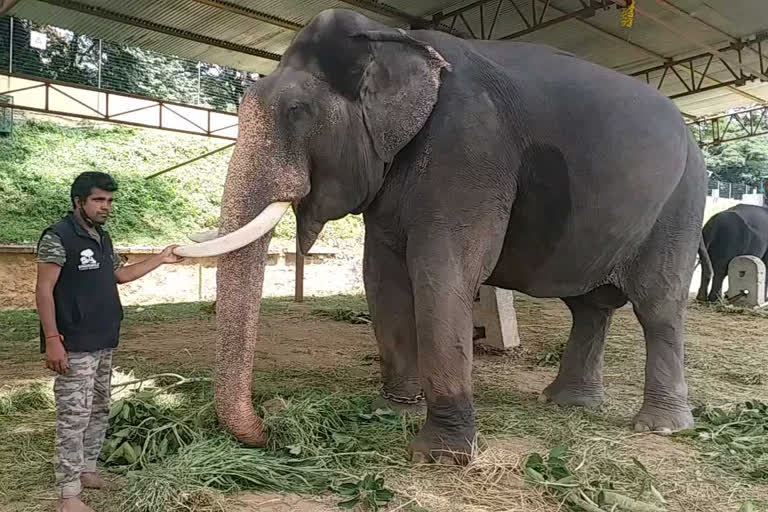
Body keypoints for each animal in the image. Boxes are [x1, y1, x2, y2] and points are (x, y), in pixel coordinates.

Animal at [172, 8, 708, 464]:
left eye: (298, 111)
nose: (267, 429)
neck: (391, 37)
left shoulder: (469, 149)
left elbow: (440, 270)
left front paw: (441, 456)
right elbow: (381, 275)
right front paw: (395, 408)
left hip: (682, 201)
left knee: (658, 306)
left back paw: (659, 426)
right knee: (590, 307)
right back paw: (567, 404)